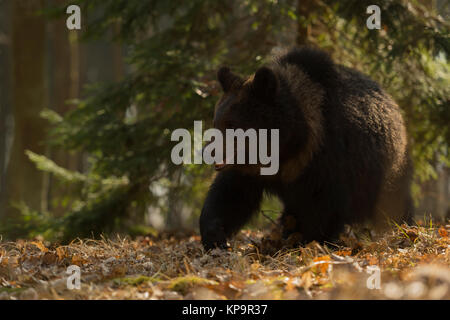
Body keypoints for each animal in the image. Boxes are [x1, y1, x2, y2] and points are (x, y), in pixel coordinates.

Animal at [200, 47, 414, 250]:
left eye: (233, 125)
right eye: (216, 122)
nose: (208, 152)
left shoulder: (327, 159)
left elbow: (323, 205)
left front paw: (310, 241)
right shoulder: (252, 170)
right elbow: (230, 195)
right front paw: (215, 236)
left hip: (388, 170)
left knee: (394, 201)